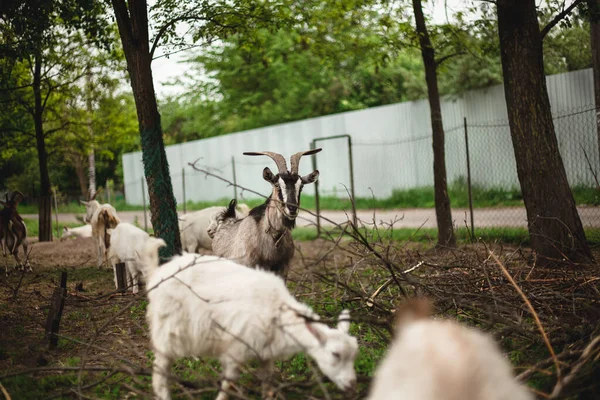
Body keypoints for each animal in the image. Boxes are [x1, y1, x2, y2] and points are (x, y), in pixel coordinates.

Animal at [143, 252, 358, 400]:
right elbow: (229, 384)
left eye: (354, 355)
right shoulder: (235, 349)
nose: (351, 385)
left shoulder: (266, 352)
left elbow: (267, 380)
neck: (279, 311)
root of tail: (160, 272)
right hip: (168, 328)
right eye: (335, 354)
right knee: (160, 368)